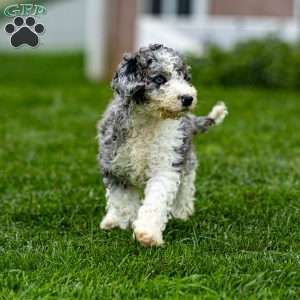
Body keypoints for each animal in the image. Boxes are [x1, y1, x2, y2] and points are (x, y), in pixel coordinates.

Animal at [98, 44, 227, 246]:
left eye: (185, 77)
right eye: (159, 78)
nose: (188, 98)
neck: (148, 119)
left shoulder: (166, 166)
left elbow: (156, 200)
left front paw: (147, 234)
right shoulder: (115, 167)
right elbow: (122, 200)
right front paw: (120, 222)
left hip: (187, 161)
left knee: (185, 189)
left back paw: (182, 213)